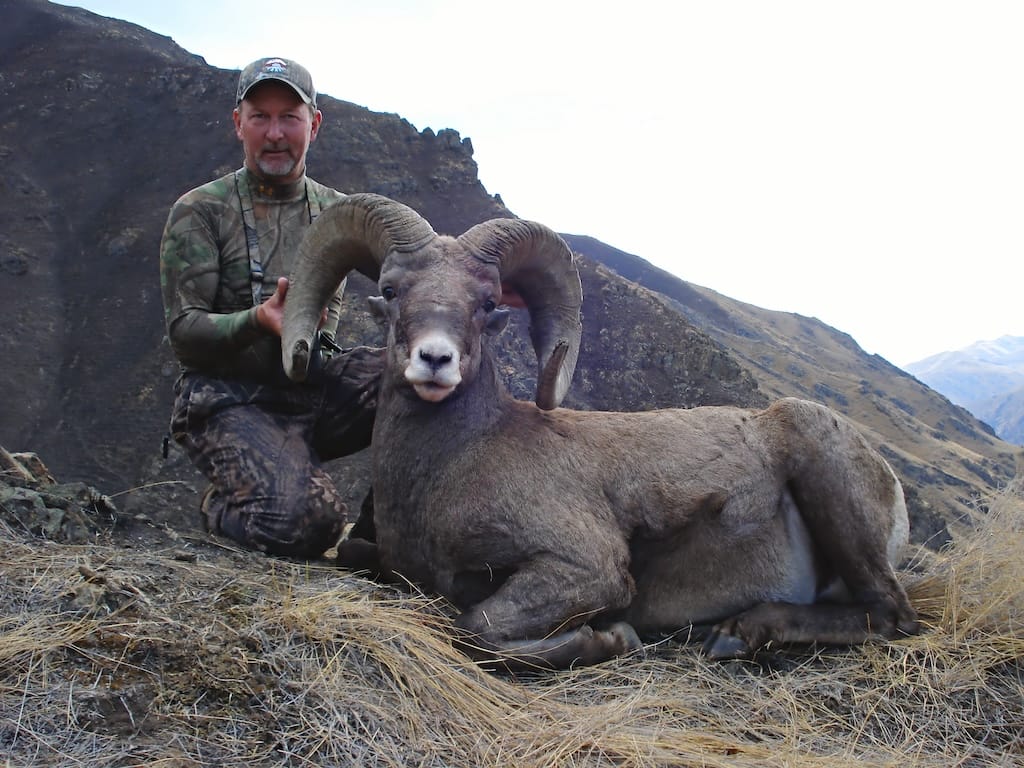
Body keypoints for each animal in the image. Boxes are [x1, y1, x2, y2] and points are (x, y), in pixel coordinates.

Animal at [281, 193, 919, 669]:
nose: (435, 360)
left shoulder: (584, 568)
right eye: (391, 291)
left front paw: (611, 639)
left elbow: (475, 629)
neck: (453, 464)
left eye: (486, 303)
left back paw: (739, 631)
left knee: (892, 616)